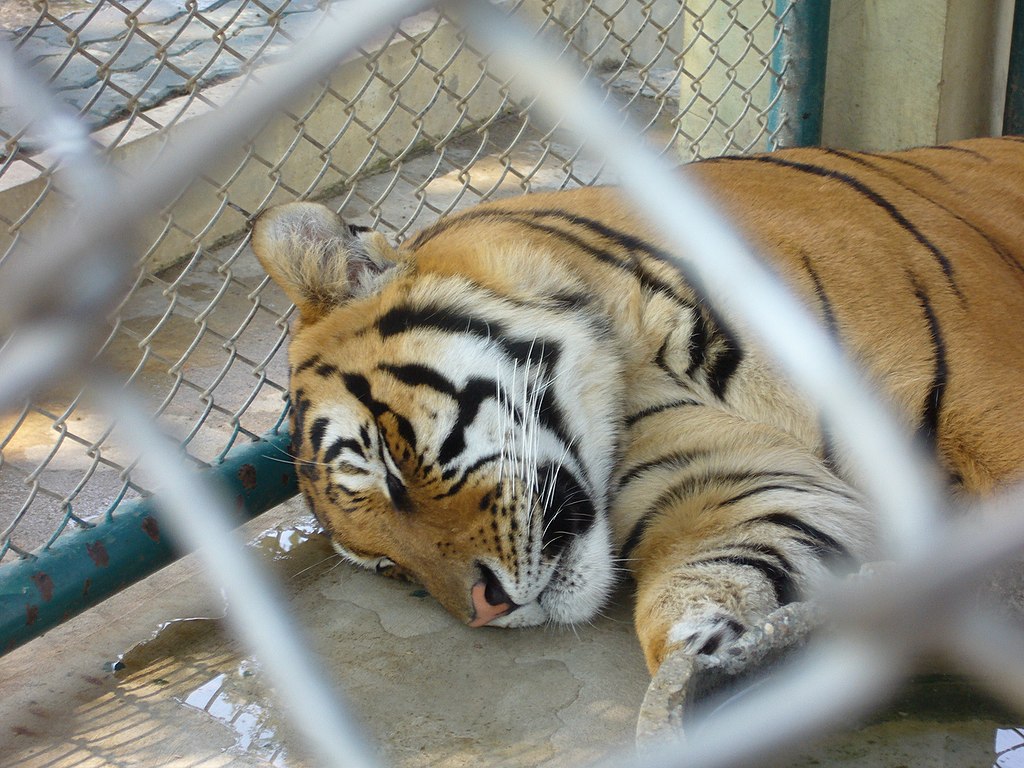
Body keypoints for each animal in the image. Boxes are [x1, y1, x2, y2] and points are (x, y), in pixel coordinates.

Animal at [251, 136, 1024, 674]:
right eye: (388, 568)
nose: (484, 609)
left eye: (389, 464)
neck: (632, 361)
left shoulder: (988, 398)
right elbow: (723, 565)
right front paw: (706, 654)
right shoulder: (738, 482)